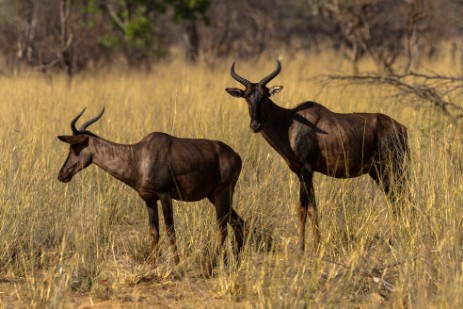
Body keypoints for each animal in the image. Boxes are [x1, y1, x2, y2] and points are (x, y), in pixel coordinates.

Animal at [57, 108, 245, 274]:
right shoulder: (149, 199)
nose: (62, 175)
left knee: (222, 229)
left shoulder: (165, 194)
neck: (139, 156)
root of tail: (236, 156)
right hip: (213, 196)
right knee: (239, 223)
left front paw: (178, 265)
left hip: (222, 193)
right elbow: (154, 231)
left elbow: (170, 230)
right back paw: (237, 264)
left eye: (73, 147)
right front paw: (152, 265)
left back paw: (208, 269)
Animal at [226, 59, 410, 250]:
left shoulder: (306, 170)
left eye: (265, 96)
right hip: (377, 171)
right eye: (247, 96)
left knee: (401, 197)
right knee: (396, 199)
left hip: (391, 168)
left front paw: (302, 248)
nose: (255, 125)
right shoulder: (301, 173)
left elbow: (302, 209)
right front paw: (317, 244)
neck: (290, 122)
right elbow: (313, 209)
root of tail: (400, 127)